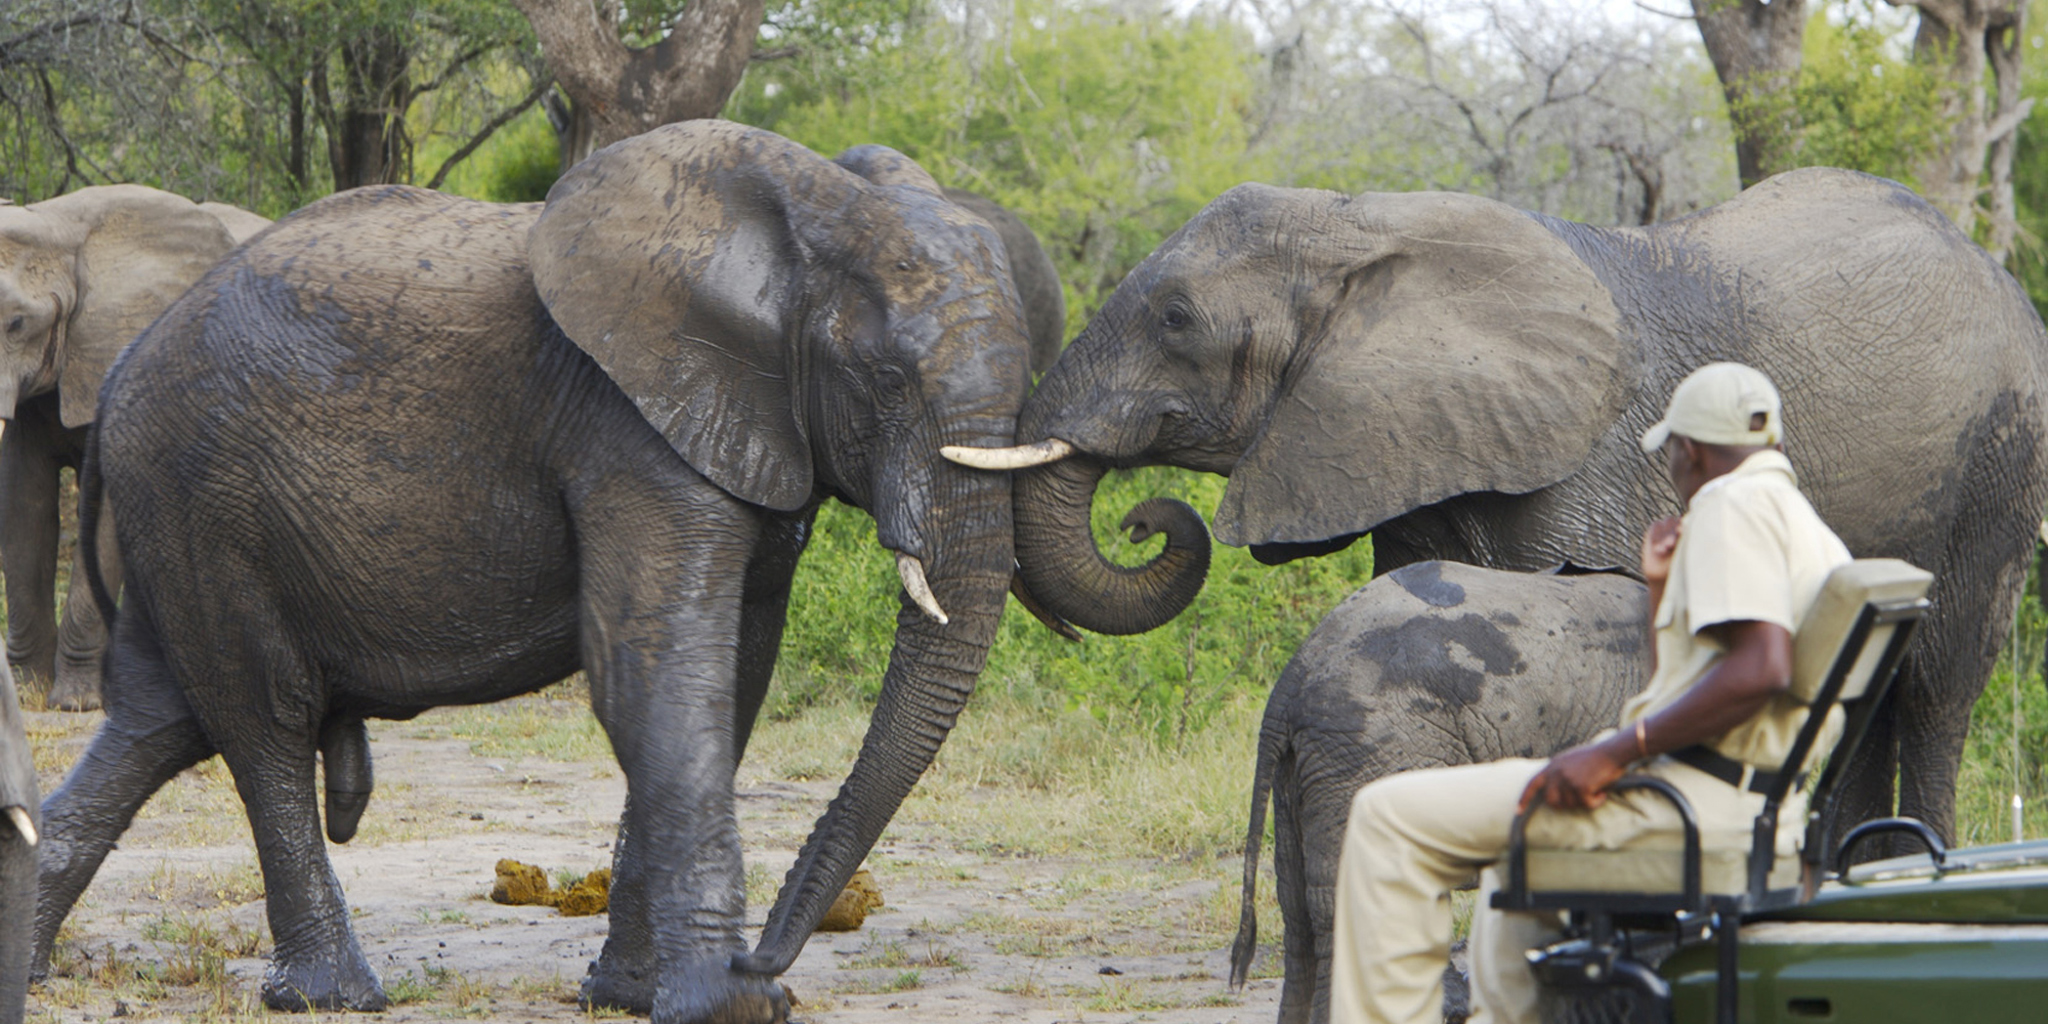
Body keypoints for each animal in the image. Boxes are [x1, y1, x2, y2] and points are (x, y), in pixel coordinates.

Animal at [32, 121, 1034, 1024]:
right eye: (888, 381)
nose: (769, 956)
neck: (807, 216)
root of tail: (118, 378)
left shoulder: (752, 430)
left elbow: (735, 678)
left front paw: (630, 998)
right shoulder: (627, 431)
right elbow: (654, 678)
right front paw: (731, 1005)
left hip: (182, 516)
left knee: (160, 720)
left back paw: (34, 966)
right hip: (203, 498)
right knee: (262, 717)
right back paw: (334, 998)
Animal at [996, 166, 2048, 846]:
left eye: (1176, 320)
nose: (1144, 518)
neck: (1366, 223)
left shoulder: (1599, 456)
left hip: (2001, 461)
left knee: (1938, 679)